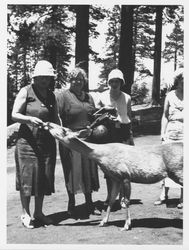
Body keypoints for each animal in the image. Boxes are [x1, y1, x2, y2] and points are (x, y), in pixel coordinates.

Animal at [44, 122, 183, 230]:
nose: (48, 123)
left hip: (177, 171)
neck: (102, 156)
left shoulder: (125, 175)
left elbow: (126, 201)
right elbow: (111, 199)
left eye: (64, 130)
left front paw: (126, 225)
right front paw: (103, 222)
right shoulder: (115, 178)